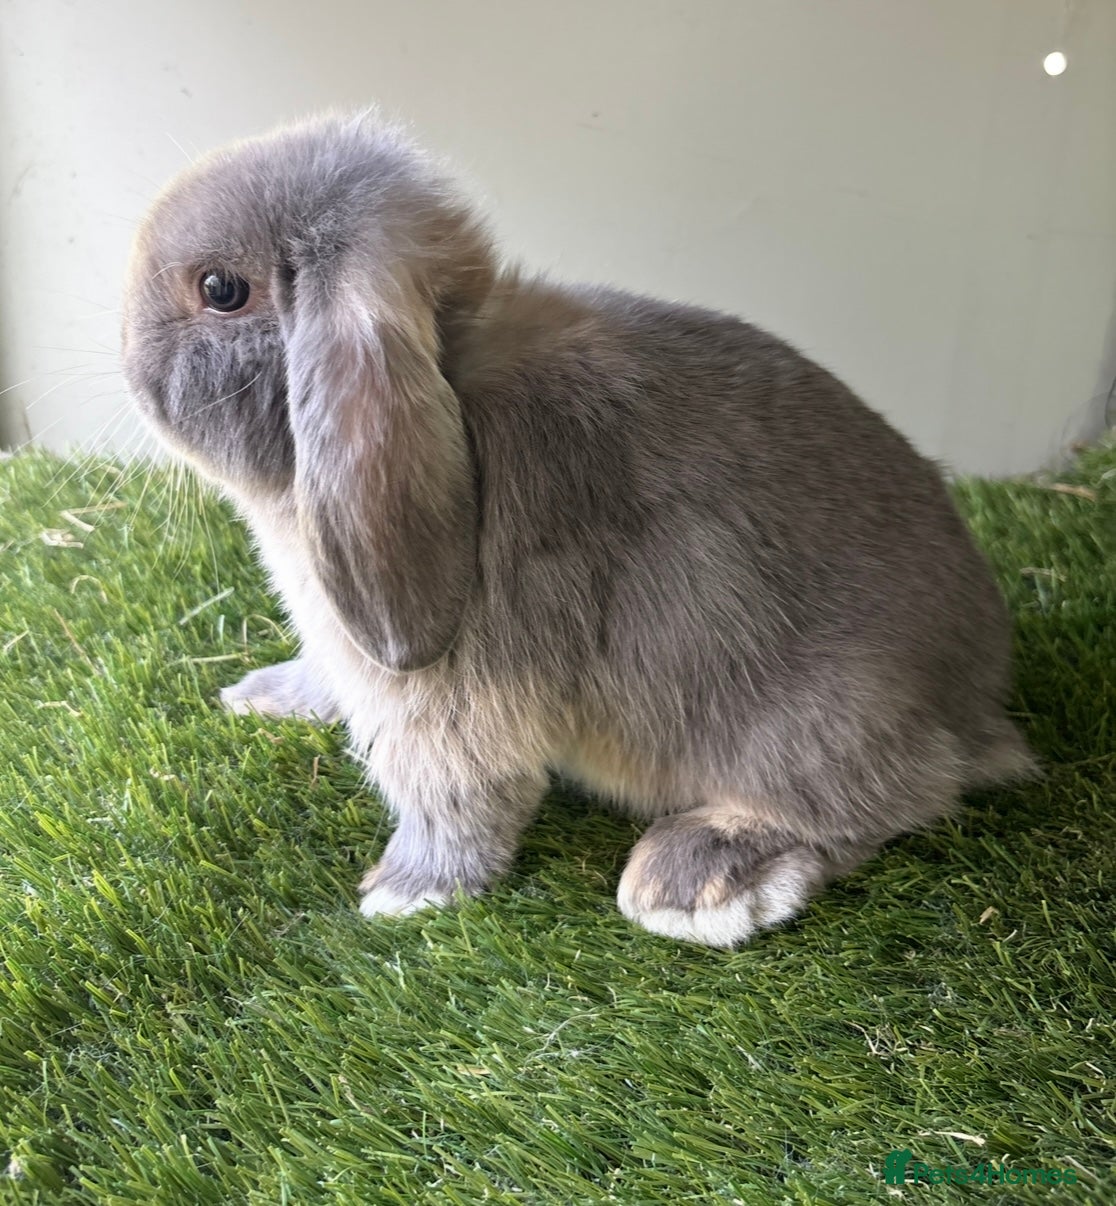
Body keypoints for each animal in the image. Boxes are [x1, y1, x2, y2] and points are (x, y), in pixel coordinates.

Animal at [121, 111, 1033, 947]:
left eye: (221, 289)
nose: (128, 361)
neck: (455, 380)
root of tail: (975, 705)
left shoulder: (450, 701)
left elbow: (456, 795)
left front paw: (405, 892)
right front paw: (263, 697)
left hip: (814, 721)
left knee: (895, 796)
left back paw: (689, 880)